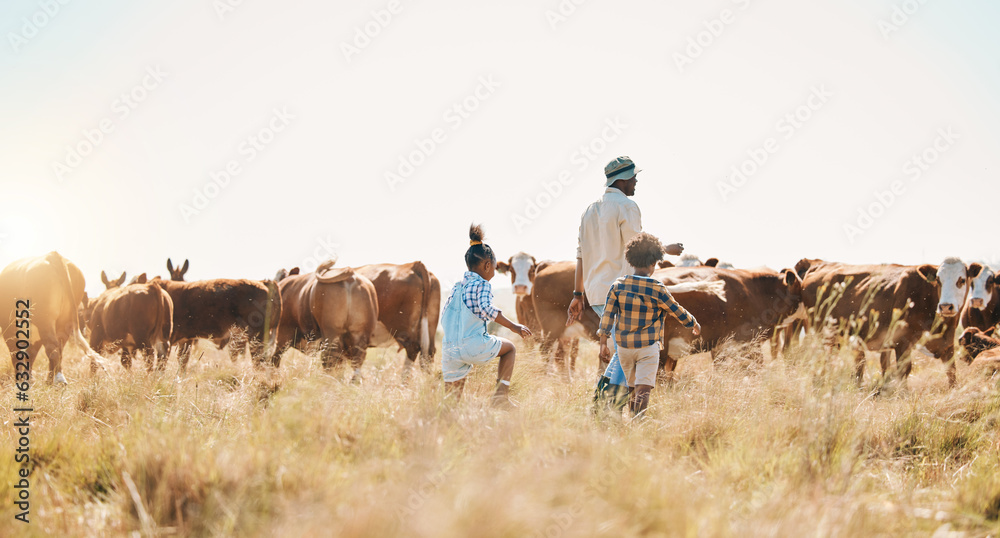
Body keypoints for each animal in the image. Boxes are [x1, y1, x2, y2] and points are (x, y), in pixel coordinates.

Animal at [0, 251, 104, 382]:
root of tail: (53, 255)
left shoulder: (8, 326)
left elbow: (16, 352)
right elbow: (31, 352)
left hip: (45, 320)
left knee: (52, 346)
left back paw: (58, 380)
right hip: (64, 320)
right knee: (59, 347)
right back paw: (51, 380)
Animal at [796, 256, 968, 386]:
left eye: (962, 280)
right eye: (938, 280)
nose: (945, 306)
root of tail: (817, 263)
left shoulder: (948, 345)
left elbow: (952, 373)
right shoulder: (902, 343)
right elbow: (903, 371)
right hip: (823, 336)